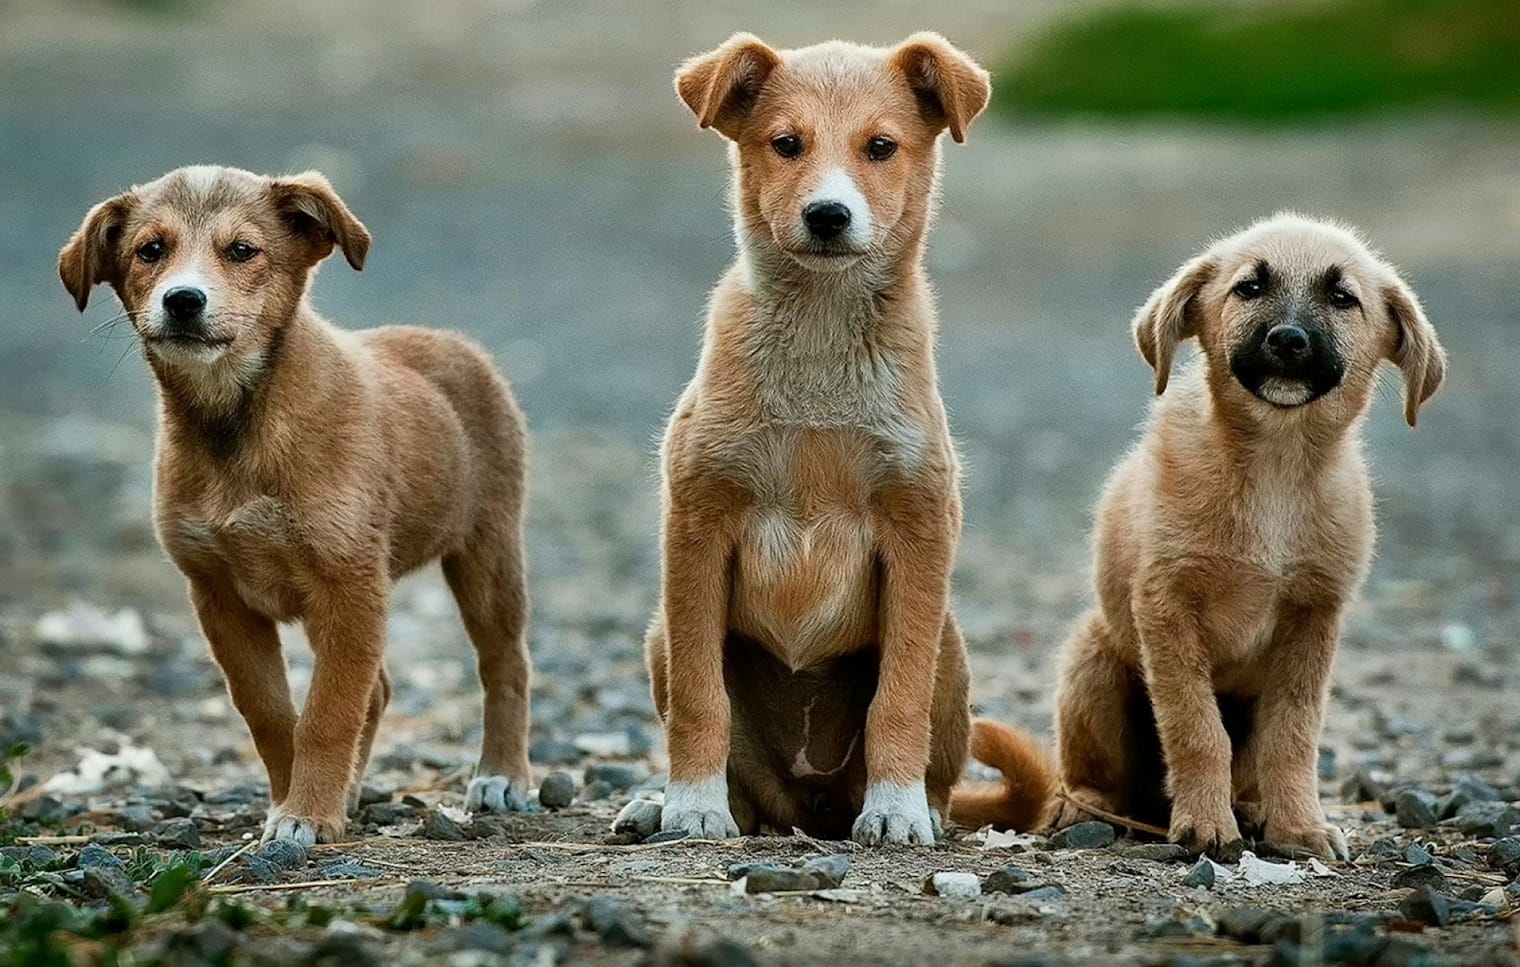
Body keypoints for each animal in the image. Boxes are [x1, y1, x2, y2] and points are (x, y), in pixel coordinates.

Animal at [644, 32, 991, 845]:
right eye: (785, 144)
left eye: (881, 147)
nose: (829, 214)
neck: (821, 343)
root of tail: (811, 807)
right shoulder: (697, 522)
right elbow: (701, 699)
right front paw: (692, 804)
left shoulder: (920, 526)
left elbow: (897, 697)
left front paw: (896, 810)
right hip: (658, 634)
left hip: (951, 645)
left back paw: (919, 806)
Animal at [960, 212, 1447, 863]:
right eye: (1249, 288)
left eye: (1343, 298)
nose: (1288, 339)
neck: (1274, 467)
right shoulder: (1167, 607)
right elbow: (1196, 728)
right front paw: (1206, 825)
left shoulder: (1313, 618)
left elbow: (1293, 736)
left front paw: (1299, 826)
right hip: (1094, 658)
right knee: (1094, 776)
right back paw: (1087, 806)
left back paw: (1253, 808)